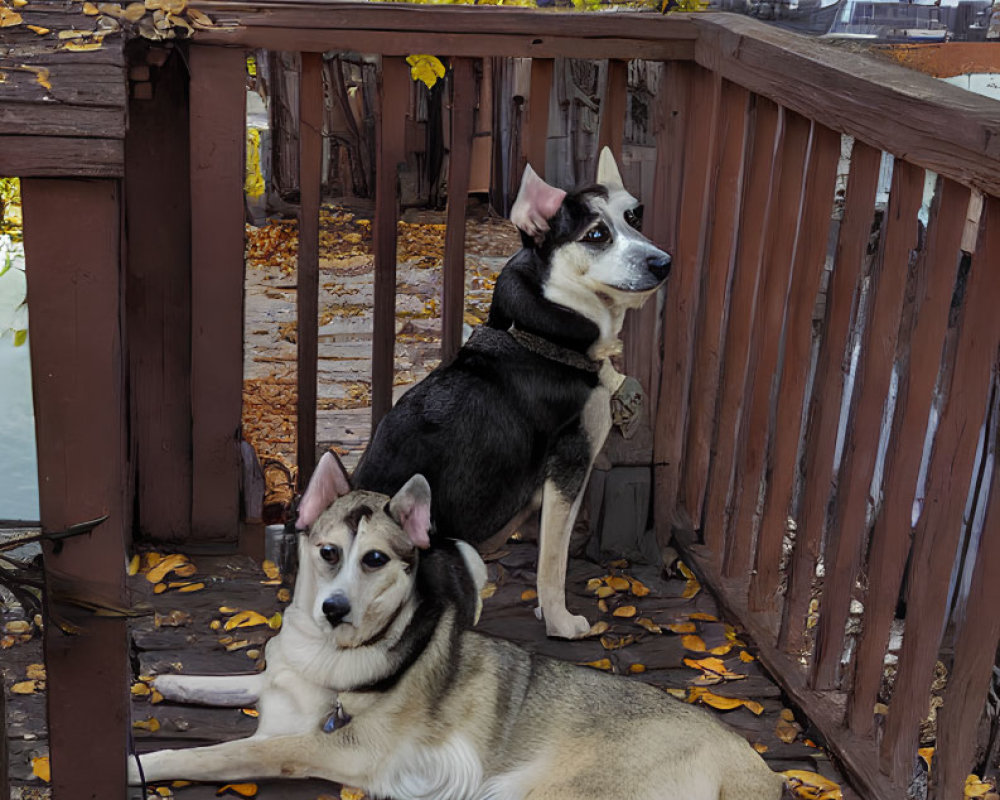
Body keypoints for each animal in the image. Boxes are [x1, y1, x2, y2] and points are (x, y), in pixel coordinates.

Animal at [131, 462, 788, 800]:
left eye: (375, 560)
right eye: (328, 552)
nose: (335, 609)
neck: (334, 651)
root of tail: (755, 767)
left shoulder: (329, 746)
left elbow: (228, 752)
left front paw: (147, 763)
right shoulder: (282, 679)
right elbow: (245, 678)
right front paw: (171, 682)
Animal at [300, 148, 668, 636]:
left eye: (635, 216)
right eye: (596, 235)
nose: (663, 262)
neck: (542, 335)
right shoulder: (569, 467)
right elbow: (553, 563)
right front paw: (560, 622)